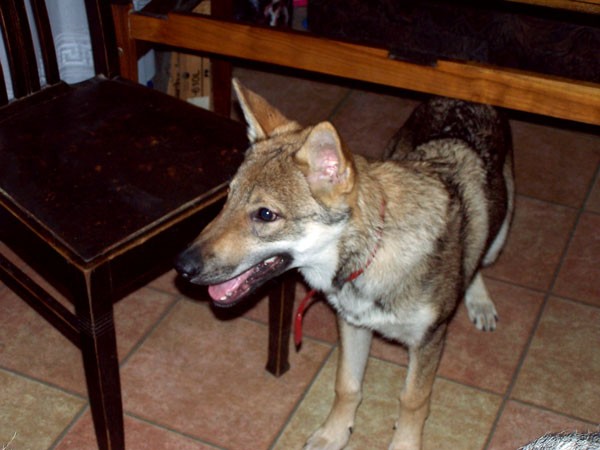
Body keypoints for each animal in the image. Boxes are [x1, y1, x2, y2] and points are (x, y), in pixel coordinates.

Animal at [175, 79, 514, 449]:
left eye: (265, 215)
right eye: (228, 197)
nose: (181, 265)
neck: (372, 256)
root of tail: (463, 95)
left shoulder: (428, 341)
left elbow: (412, 401)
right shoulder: (353, 324)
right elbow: (347, 386)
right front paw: (332, 434)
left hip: (499, 237)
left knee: (478, 260)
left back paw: (480, 302)